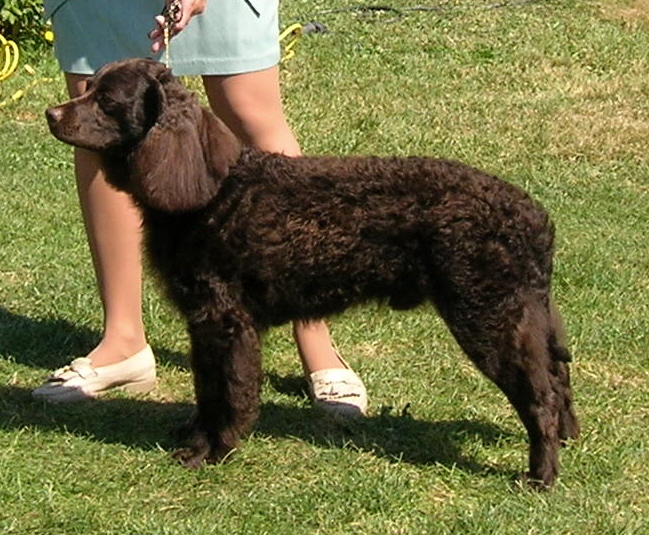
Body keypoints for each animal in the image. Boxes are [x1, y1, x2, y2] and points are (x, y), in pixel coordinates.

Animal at [48, 58, 580, 490]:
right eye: (87, 86)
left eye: (108, 101)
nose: (52, 114)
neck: (214, 191)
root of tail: (536, 219)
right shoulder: (203, 324)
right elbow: (205, 390)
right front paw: (196, 436)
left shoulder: (225, 322)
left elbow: (228, 393)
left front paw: (212, 451)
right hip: (526, 316)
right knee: (558, 380)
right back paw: (568, 440)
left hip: (487, 317)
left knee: (540, 396)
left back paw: (540, 476)